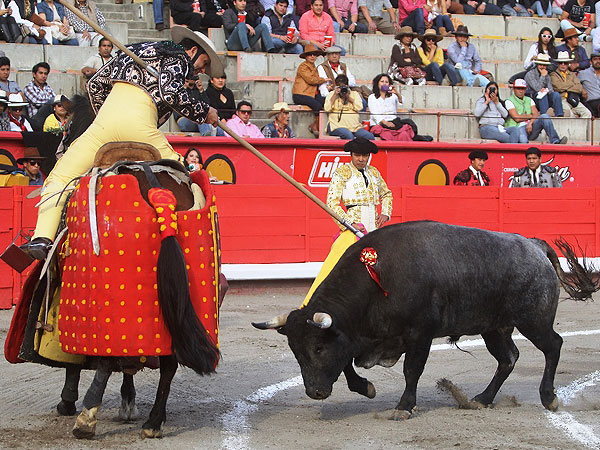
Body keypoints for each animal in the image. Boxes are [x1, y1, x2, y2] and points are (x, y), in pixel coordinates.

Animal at [252, 221, 596, 418]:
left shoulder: (420, 334)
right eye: (296, 352)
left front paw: (404, 407)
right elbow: (347, 363)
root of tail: (534, 246)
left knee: (553, 346)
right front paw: (367, 388)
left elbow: (411, 370)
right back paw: (482, 399)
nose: (314, 392)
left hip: (533, 320)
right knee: (508, 358)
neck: (379, 278)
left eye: (319, 349)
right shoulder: (362, 336)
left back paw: (549, 398)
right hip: (494, 328)